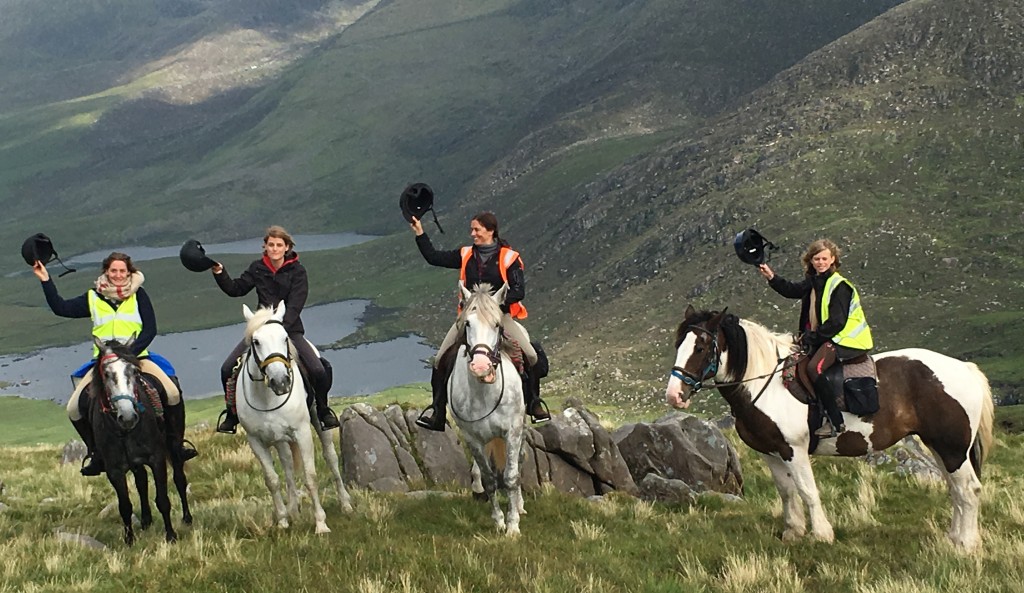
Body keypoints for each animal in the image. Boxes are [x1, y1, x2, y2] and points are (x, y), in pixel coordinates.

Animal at [237, 301, 354, 532]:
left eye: (285, 337)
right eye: (256, 341)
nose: (280, 381)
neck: (267, 398)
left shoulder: (302, 433)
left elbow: (310, 476)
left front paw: (321, 524)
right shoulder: (255, 441)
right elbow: (272, 480)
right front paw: (282, 520)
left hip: (319, 423)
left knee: (331, 458)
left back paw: (345, 504)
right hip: (279, 439)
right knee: (288, 466)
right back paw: (293, 510)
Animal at [450, 282, 528, 536]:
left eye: (497, 324)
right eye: (467, 323)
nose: (481, 366)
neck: (484, 393)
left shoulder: (512, 432)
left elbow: (511, 477)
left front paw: (513, 525)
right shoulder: (473, 439)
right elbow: (490, 479)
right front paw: (499, 521)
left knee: (519, 463)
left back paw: (520, 505)